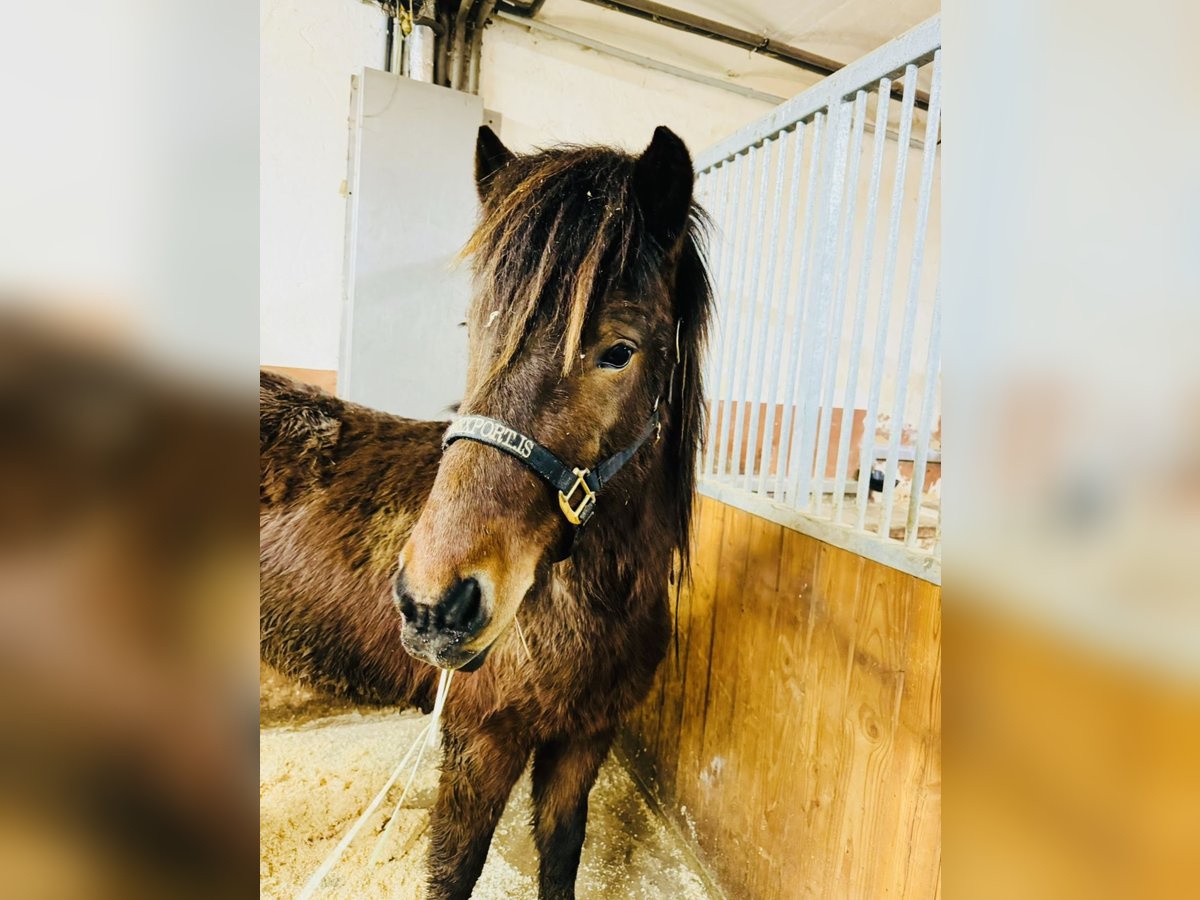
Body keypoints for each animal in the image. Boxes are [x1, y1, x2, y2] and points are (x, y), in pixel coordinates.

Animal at [260, 127, 710, 900]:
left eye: (618, 352)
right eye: (474, 328)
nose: (433, 604)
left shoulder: (584, 738)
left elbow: (561, 854)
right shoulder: (481, 741)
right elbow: (454, 871)